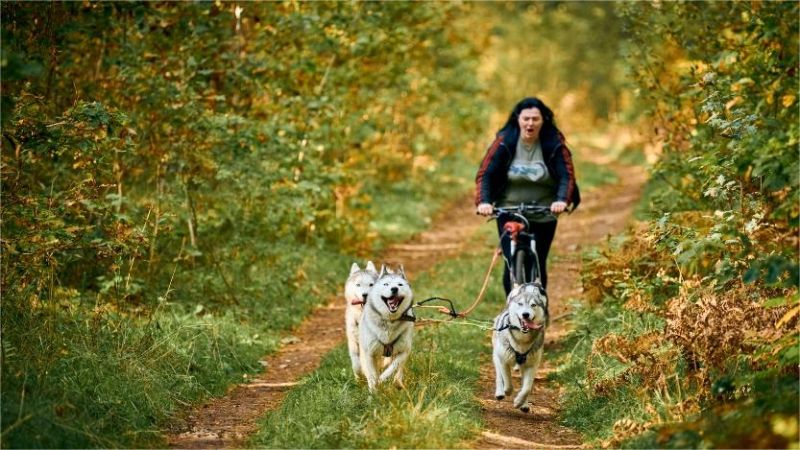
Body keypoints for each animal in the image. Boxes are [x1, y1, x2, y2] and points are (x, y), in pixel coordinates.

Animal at [490, 284, 548, 414]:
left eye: (533, 305)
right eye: (520, 304)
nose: (525, 314)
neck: (522, 341)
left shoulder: (531, 365)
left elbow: (526, 388)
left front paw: (519, 402)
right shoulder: (504, 360)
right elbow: (507, 381)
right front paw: (507, 392)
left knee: (523, 384)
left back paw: (524, 404)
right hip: (496, 356)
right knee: (499, 375)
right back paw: (500, 392)